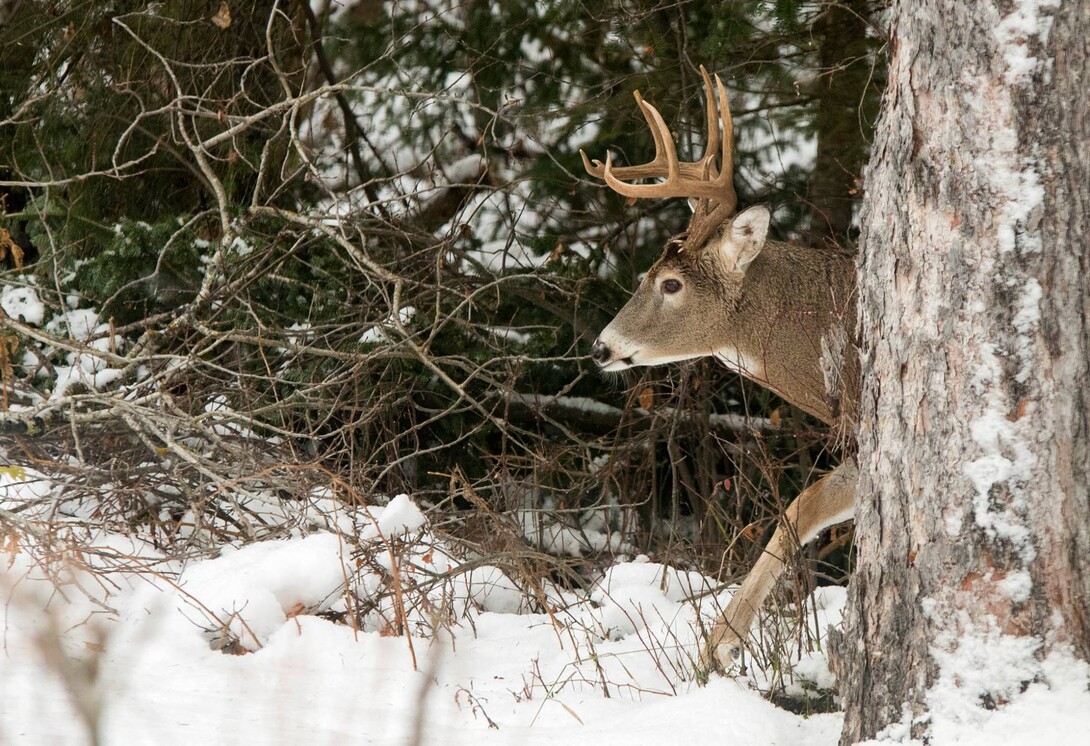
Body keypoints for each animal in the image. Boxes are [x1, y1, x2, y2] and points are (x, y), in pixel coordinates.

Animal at [584, 67, 854, 667]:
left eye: (670, 284)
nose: (600, 348)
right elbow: (802, 506)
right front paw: (720, 641)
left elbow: (807, 503)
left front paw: (719, 644)